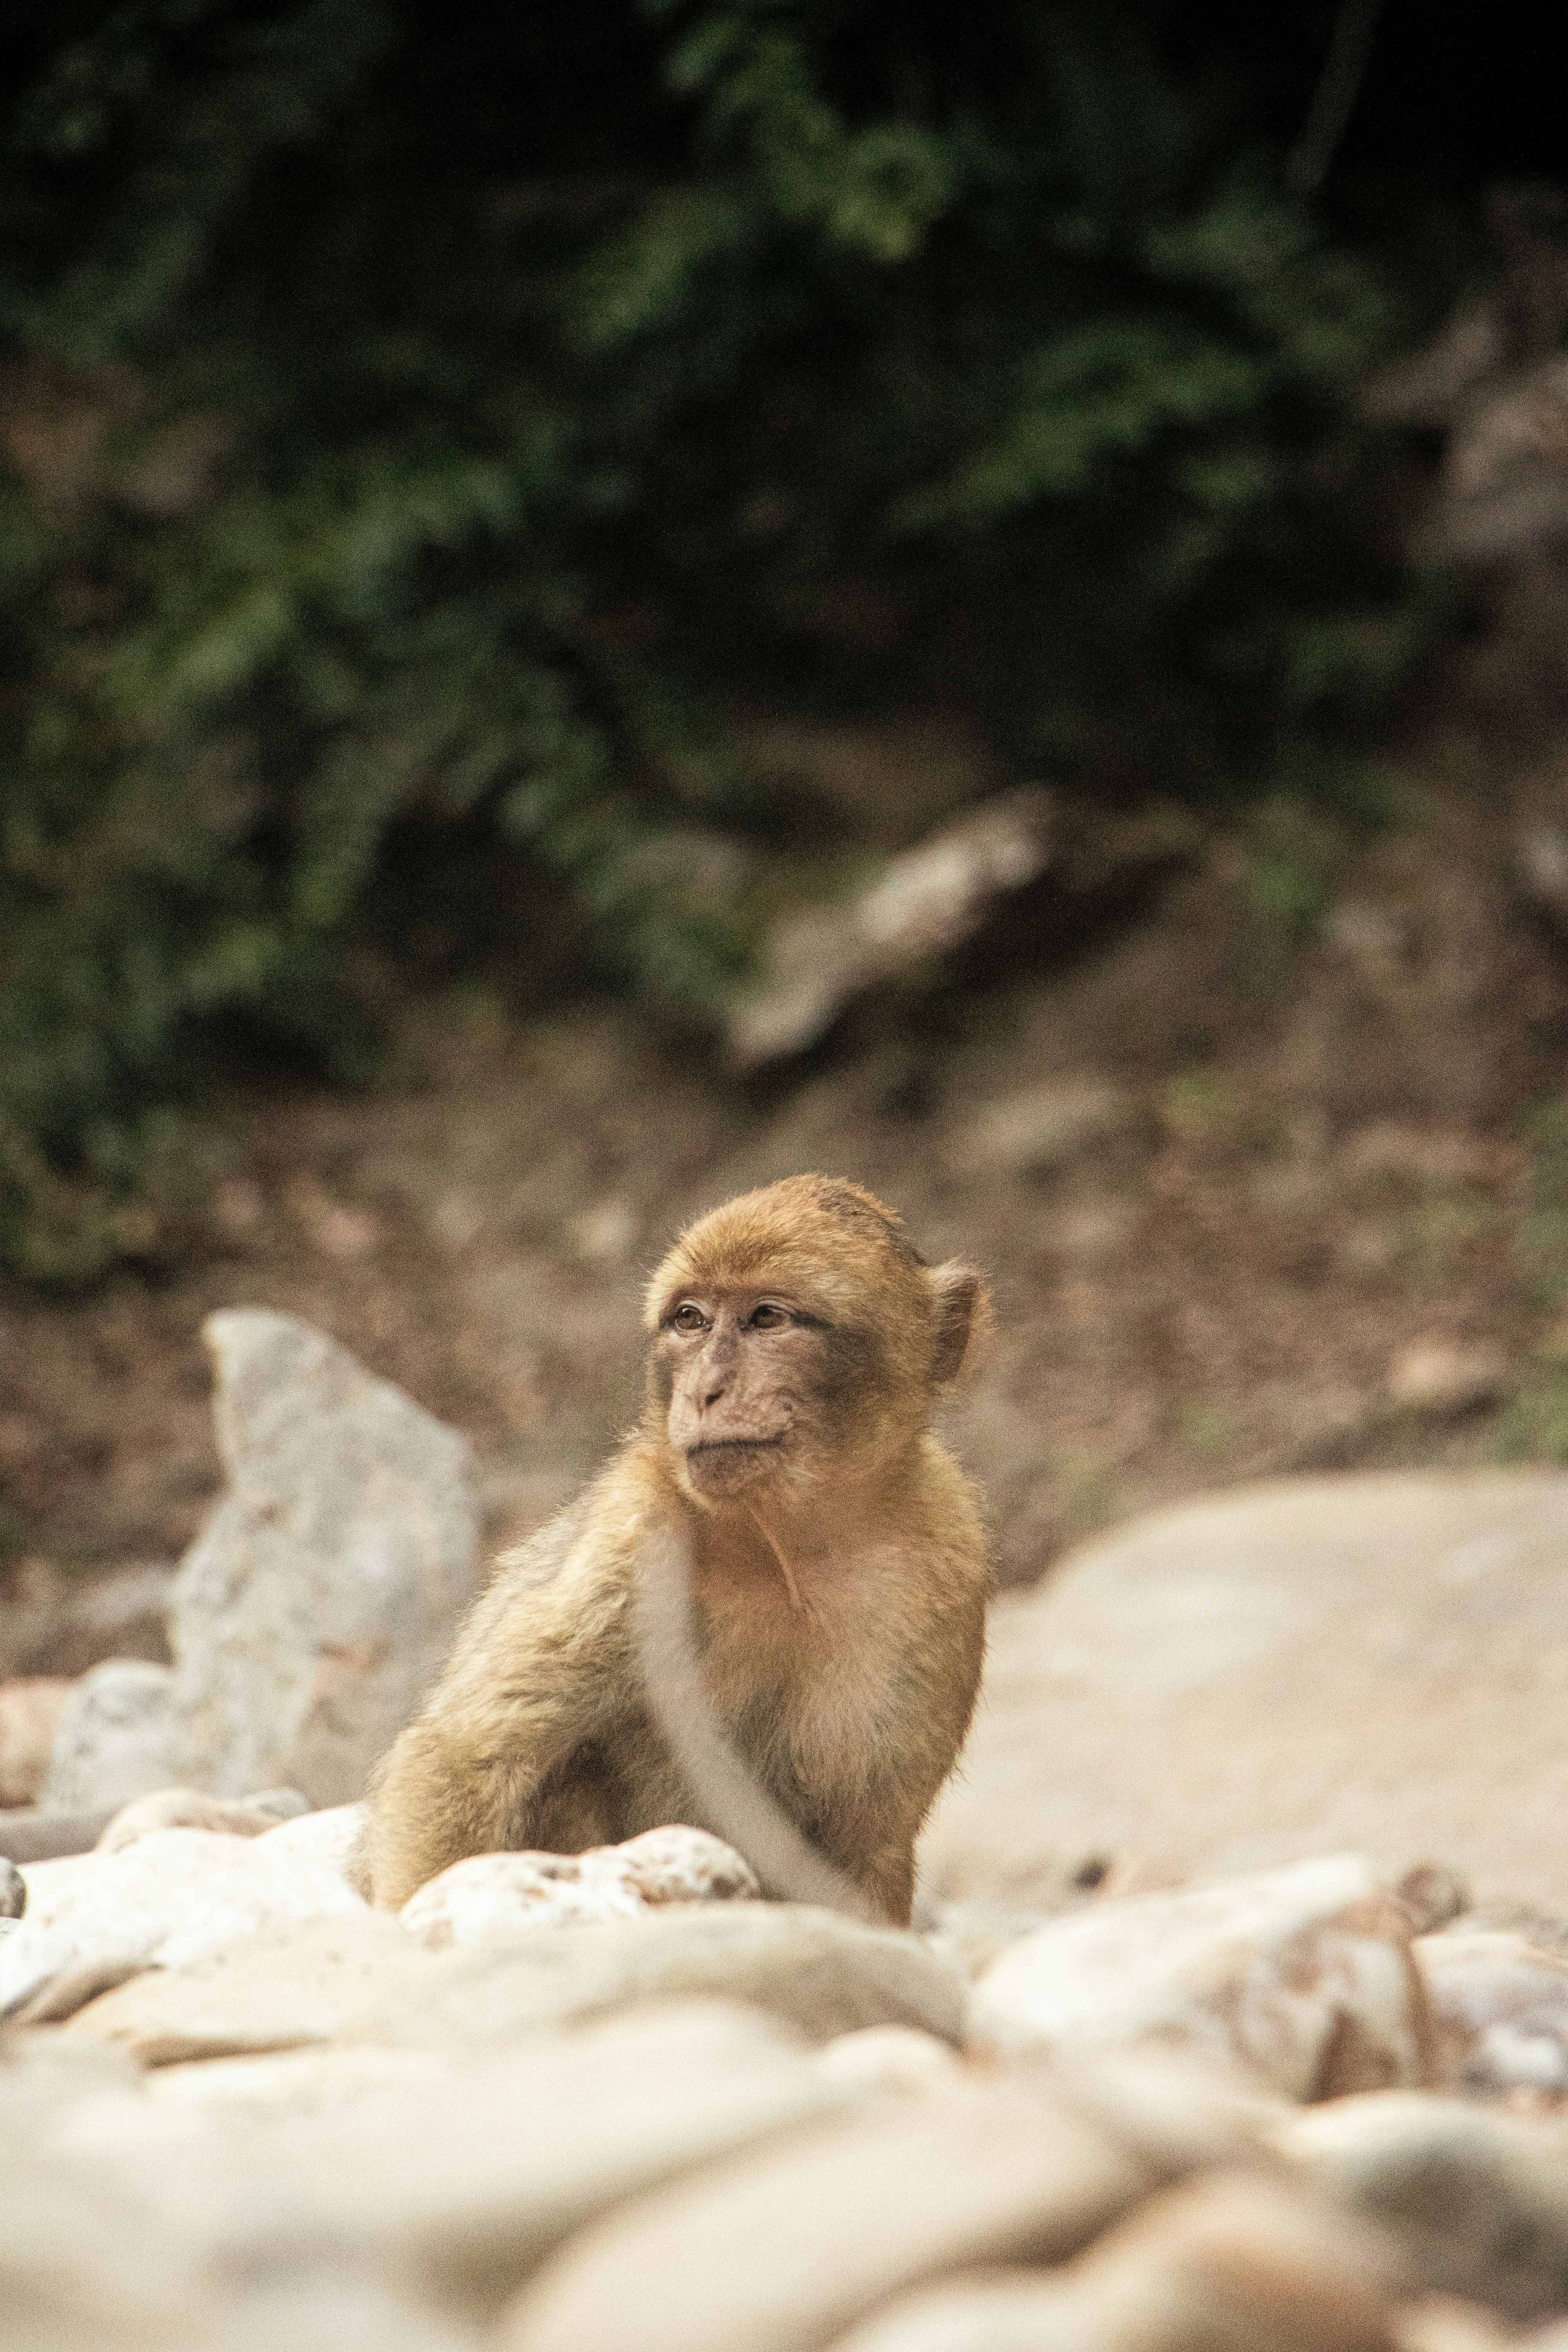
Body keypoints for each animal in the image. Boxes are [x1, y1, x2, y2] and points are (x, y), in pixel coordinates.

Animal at [360, 1175, 992, 1927]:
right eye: (690, 1320)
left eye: (767, 1319)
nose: (705, 1391)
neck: (789, 1552)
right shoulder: (632, 1542)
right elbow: (463, 1756)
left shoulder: (945, 1558)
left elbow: (866, 1845)